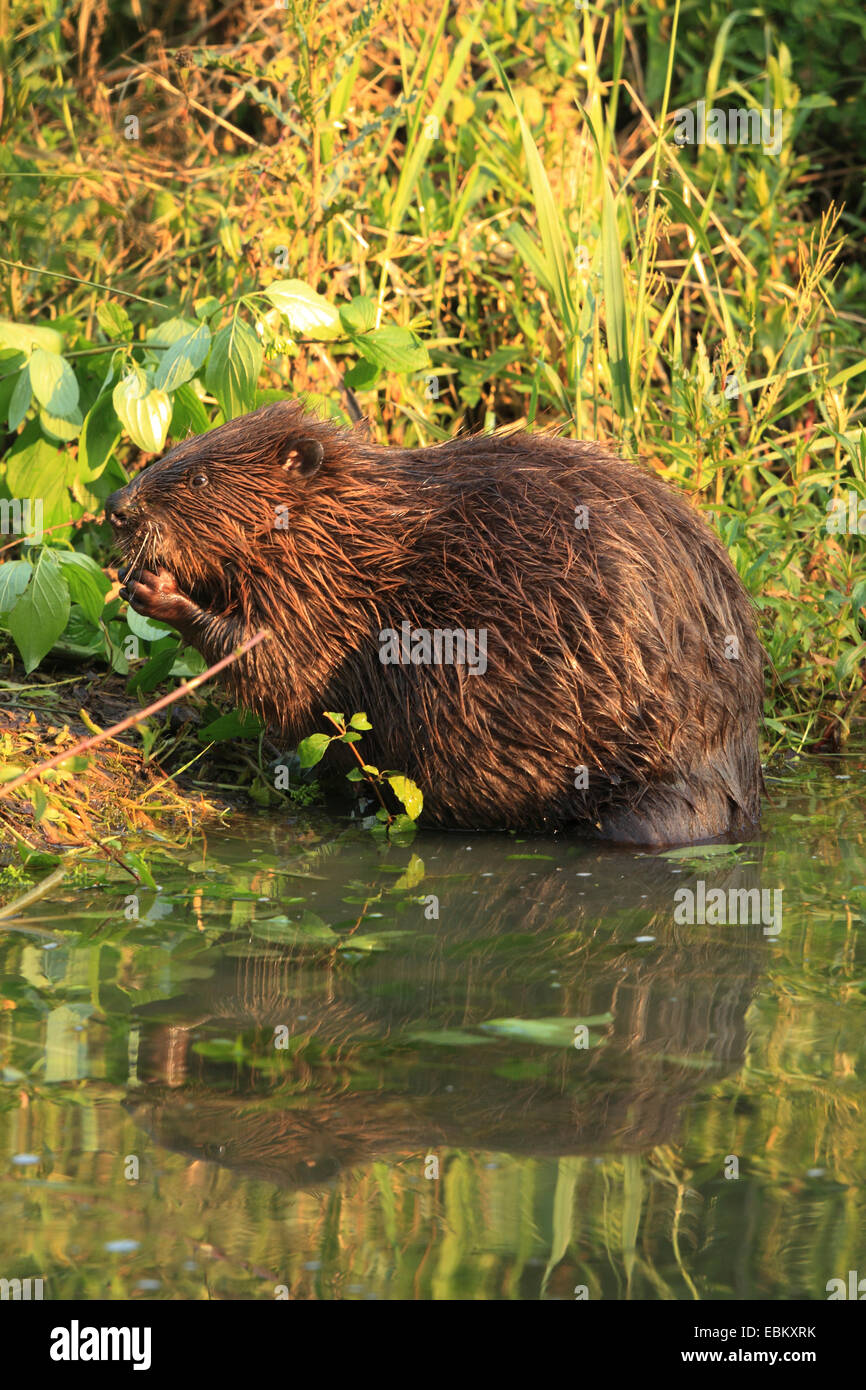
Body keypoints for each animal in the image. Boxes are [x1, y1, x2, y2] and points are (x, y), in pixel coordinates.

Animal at [107, 397, 767, 839]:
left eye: (199, 478)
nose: (116, 507)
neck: (357, 531)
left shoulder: (324, 592)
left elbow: (279, 660)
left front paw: (156, 590)